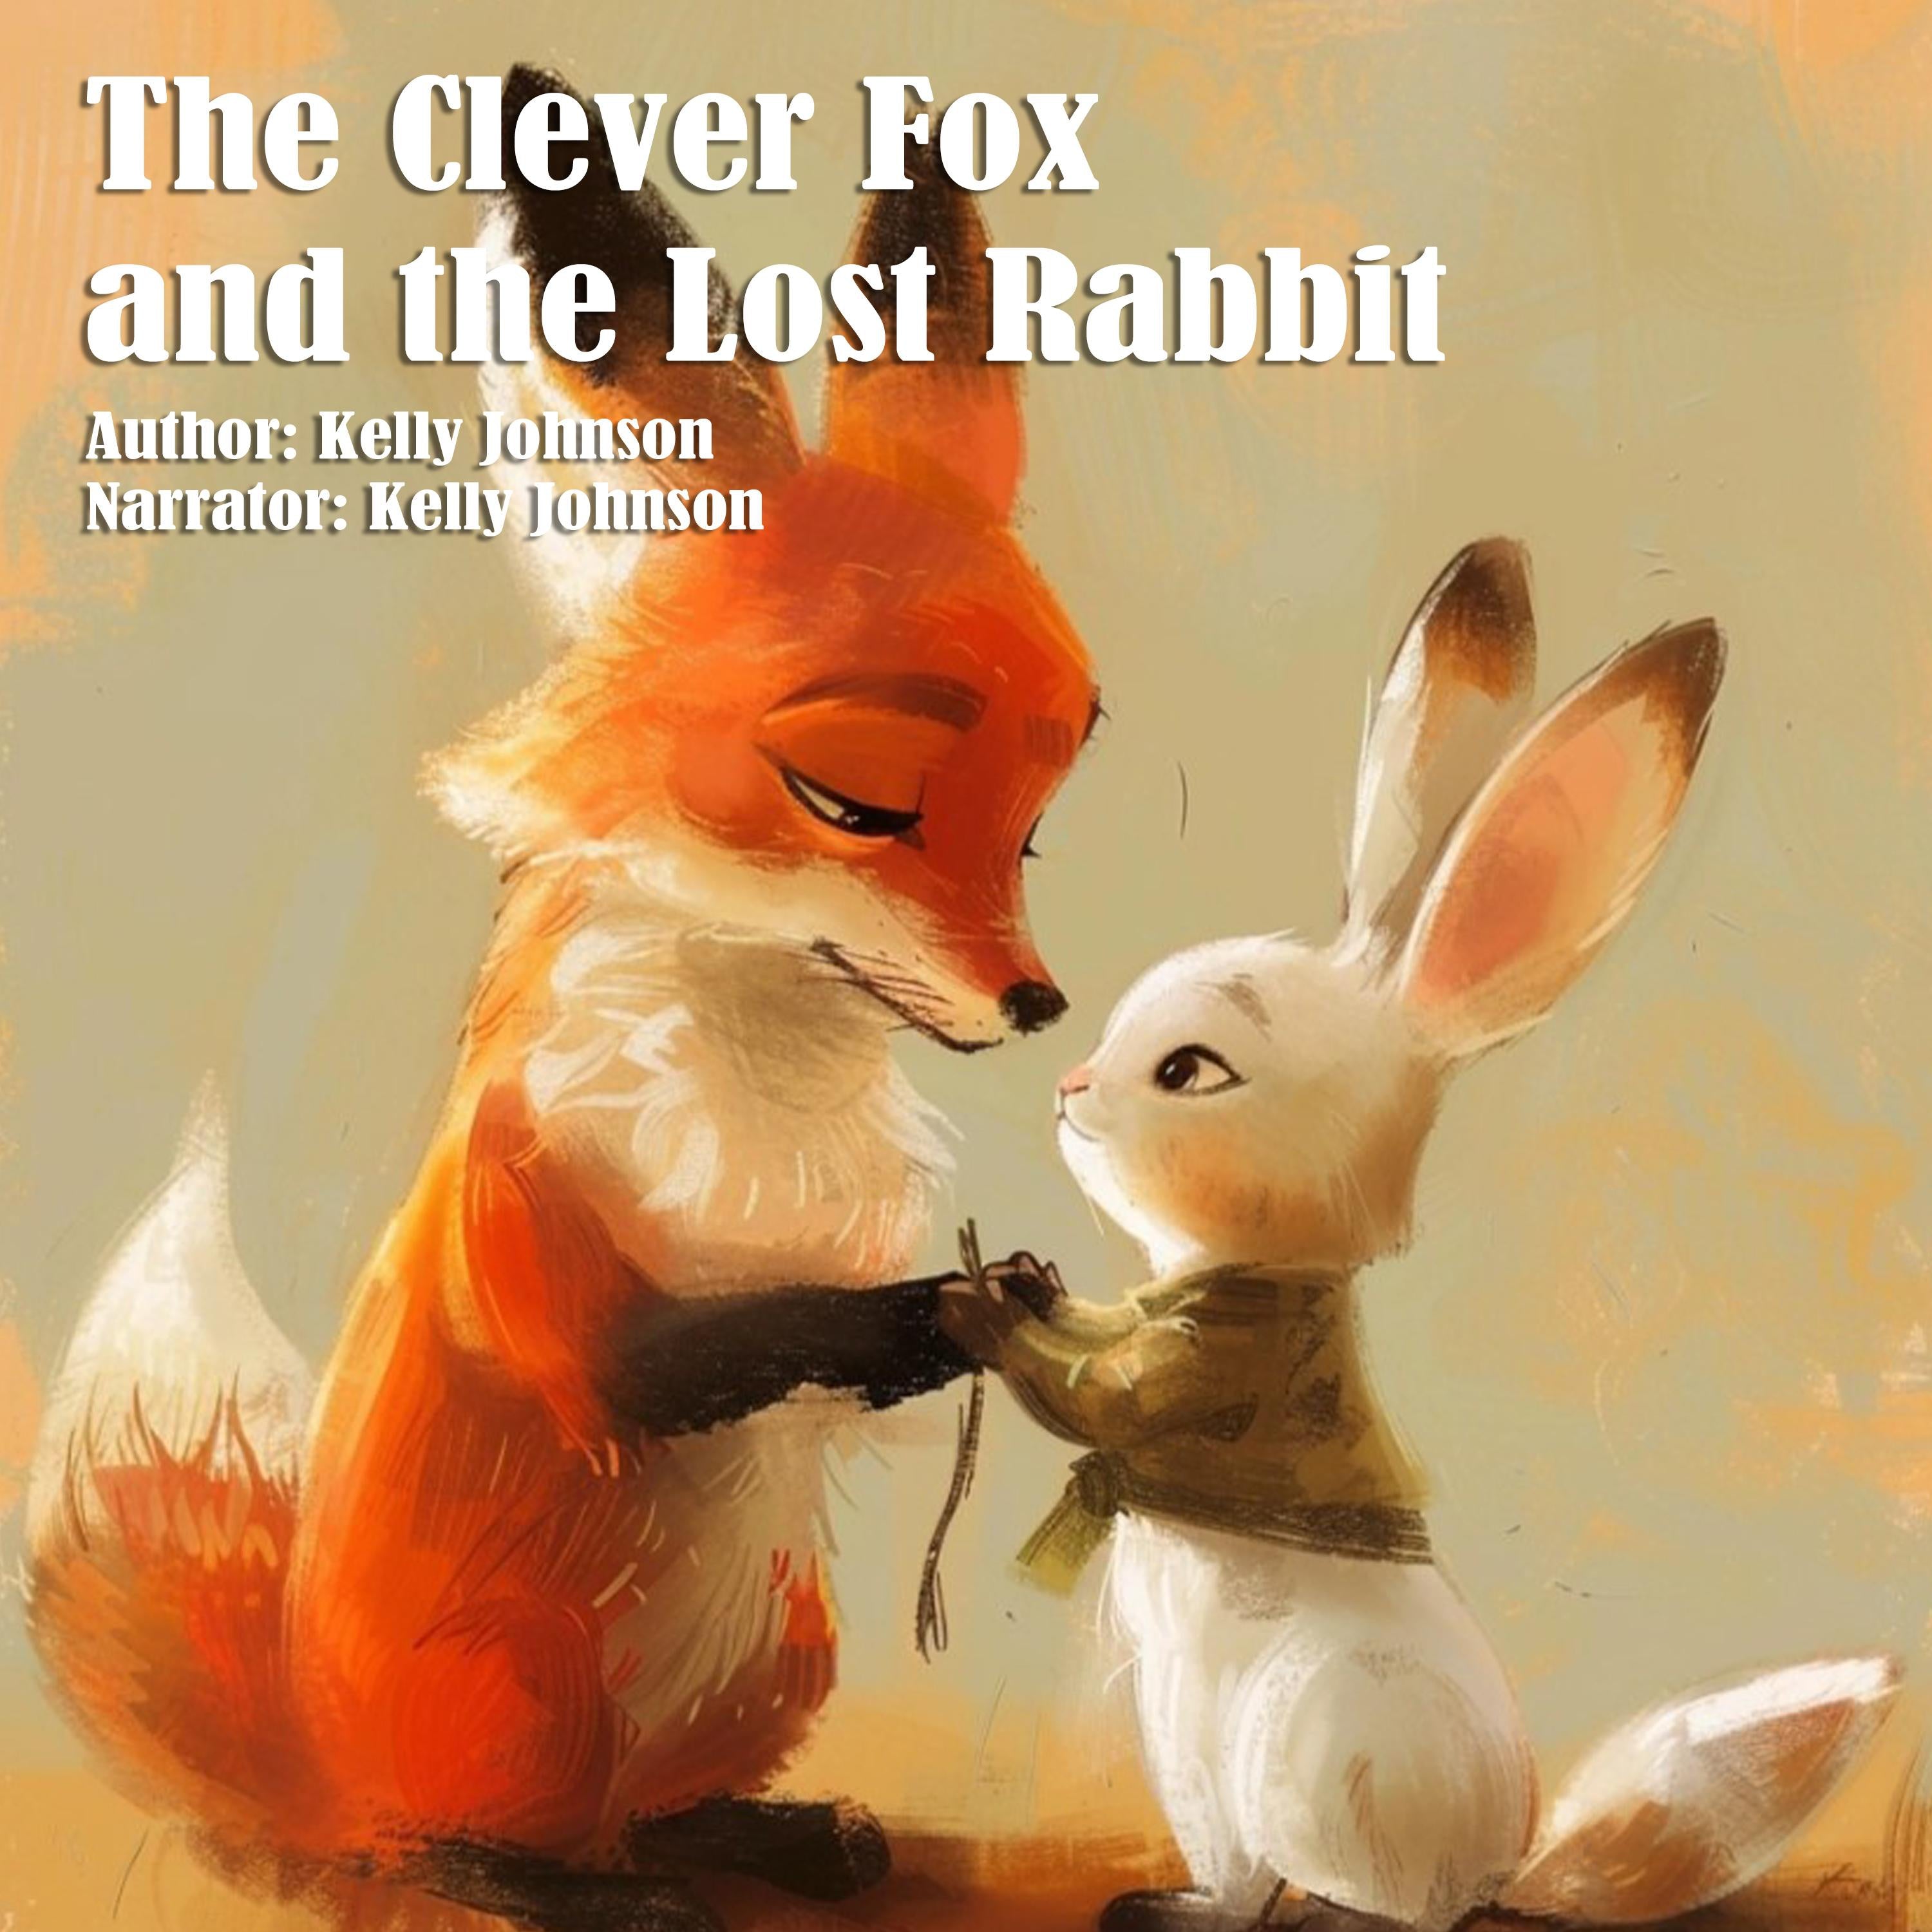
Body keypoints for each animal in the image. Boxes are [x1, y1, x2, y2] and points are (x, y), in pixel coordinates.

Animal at [26, 66, 1097, 1932]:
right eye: (854, 800)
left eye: (1032, 826)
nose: (1033, 1005)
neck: (762, 1090)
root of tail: (310, 1738)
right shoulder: (549, 1253)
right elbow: (708, 1348)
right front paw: (944, 1308)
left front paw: (1008, 1289)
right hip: (520, 1684)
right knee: (460, 1847)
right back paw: (582, 1886)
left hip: (781, 1642)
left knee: (649, 1808)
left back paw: (768, 1837)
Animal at [943, 540, 1899, 1932]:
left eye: (1188, 1070)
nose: (1068, 1090)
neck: (1251, 1276)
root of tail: (1510, 1862)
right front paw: (1027, 1281)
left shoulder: (1210, 1374)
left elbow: (1107, 1396)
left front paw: (984, 1310)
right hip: (1201, 1752)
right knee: (1253, 1869)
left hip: (1293, 1754)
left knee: (1381, 1904)